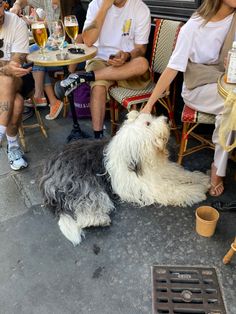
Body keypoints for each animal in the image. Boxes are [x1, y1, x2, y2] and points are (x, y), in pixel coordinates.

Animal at [39, 111, 209, 247]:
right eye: (148, 123)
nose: (167, 119)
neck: (139, 157)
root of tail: (48, 171)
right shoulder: (147, 185)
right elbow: (172, 189)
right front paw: (196, 191)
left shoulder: (162, 170)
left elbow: (180, 174)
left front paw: (203, 179)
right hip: (83, 184)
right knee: (87, 204)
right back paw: (97, 219)